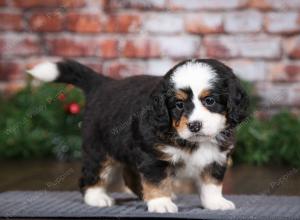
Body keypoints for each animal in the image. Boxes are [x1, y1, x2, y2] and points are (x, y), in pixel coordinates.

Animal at [27, 58, 248, 213]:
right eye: (178, 104)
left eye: (210, 100)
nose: (194, 125)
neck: (192, 141)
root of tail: (103, 84)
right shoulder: (154, 156)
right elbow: (157, 181)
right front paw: (160, 203)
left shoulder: (216, 158)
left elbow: (212, 183)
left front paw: (215, 203)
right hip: (98, 149)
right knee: (93, 174)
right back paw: (96, 197)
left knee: (130, 176)